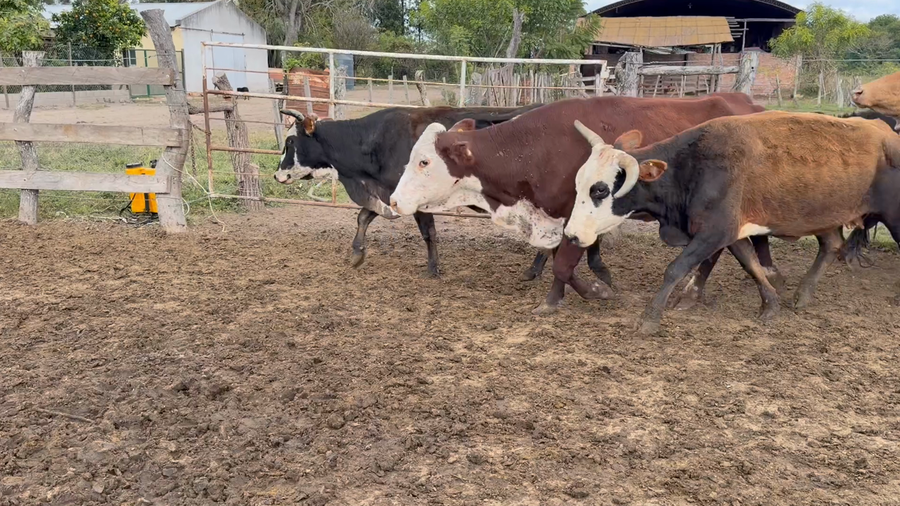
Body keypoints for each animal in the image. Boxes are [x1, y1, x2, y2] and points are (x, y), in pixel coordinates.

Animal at [276, 105, 580, 279]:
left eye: (291, 141)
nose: (278, 174)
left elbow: (428, 233)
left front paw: (433, 269)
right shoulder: (389, 193)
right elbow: (364, 216)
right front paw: (356, 254)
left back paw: (536, 269)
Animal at [388, 93, 771, 314]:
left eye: (424, 161)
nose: (393, 199)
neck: (535, 149)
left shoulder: (580, 213)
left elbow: (564, 263)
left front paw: (593, 292)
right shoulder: (558, 217)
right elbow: (561, 260)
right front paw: (564, 295)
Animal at [564, 111, 900, 335]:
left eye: (600, 190)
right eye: (579, 182)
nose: (571, 234)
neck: (693, 166)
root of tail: (886, 132)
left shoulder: (714, 232)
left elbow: (676, 268)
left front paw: (649, 318)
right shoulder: (731, 232)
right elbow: (751, 263)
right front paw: (770, 305)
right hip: (825, 217)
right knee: (831, 246)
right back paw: (803, 295)